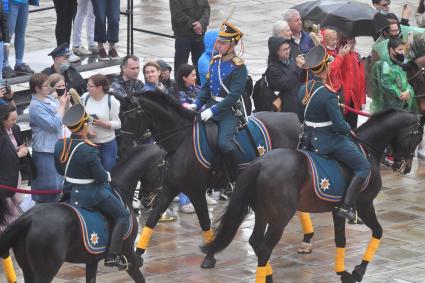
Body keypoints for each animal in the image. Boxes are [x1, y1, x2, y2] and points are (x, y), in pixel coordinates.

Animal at [0, 145, 165, 282]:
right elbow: (140, 278)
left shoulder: (92, 260)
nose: (154, 199)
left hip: (28, 270)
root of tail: (28, 218)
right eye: (162, 167)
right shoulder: (128, 254)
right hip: (45, 271)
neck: (120, 191)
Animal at [117, 90, 300, 268]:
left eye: (131, 117)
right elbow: (152, 220)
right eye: (119, 115)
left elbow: (204, 222)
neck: (181, 141)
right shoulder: (170, 189)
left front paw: (209, 256)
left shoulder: (196, 191)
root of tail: (294, 118)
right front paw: (138, 255)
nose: (123, 148)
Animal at [202, 109, 424, 283]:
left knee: (255, 242)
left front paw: (343, 273)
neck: (365, 149)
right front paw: (358, 272)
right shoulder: (365, 204)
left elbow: (341, 239)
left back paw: (268, 275)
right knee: (264, 248)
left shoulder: (338, 210)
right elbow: (378, 231)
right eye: (417, 135)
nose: (405, 167)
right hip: (279, 219)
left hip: (263, 214)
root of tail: (260, 163)